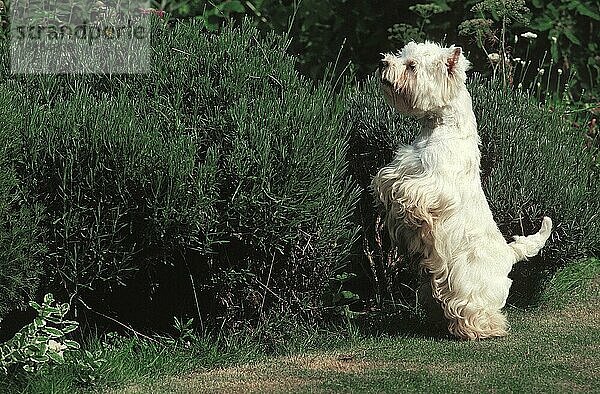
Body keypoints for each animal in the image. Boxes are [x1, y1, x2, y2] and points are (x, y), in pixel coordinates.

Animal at [370, 42, 552, 338]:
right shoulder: (401, 169)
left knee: (480, 310)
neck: (440, 126)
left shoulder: (431, 187)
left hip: (471, 287)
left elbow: (406, 191)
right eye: (401, 55)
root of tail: (509, 255)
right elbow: (386, 181)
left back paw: (482, 328)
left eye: (412, 66)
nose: (382, 63)